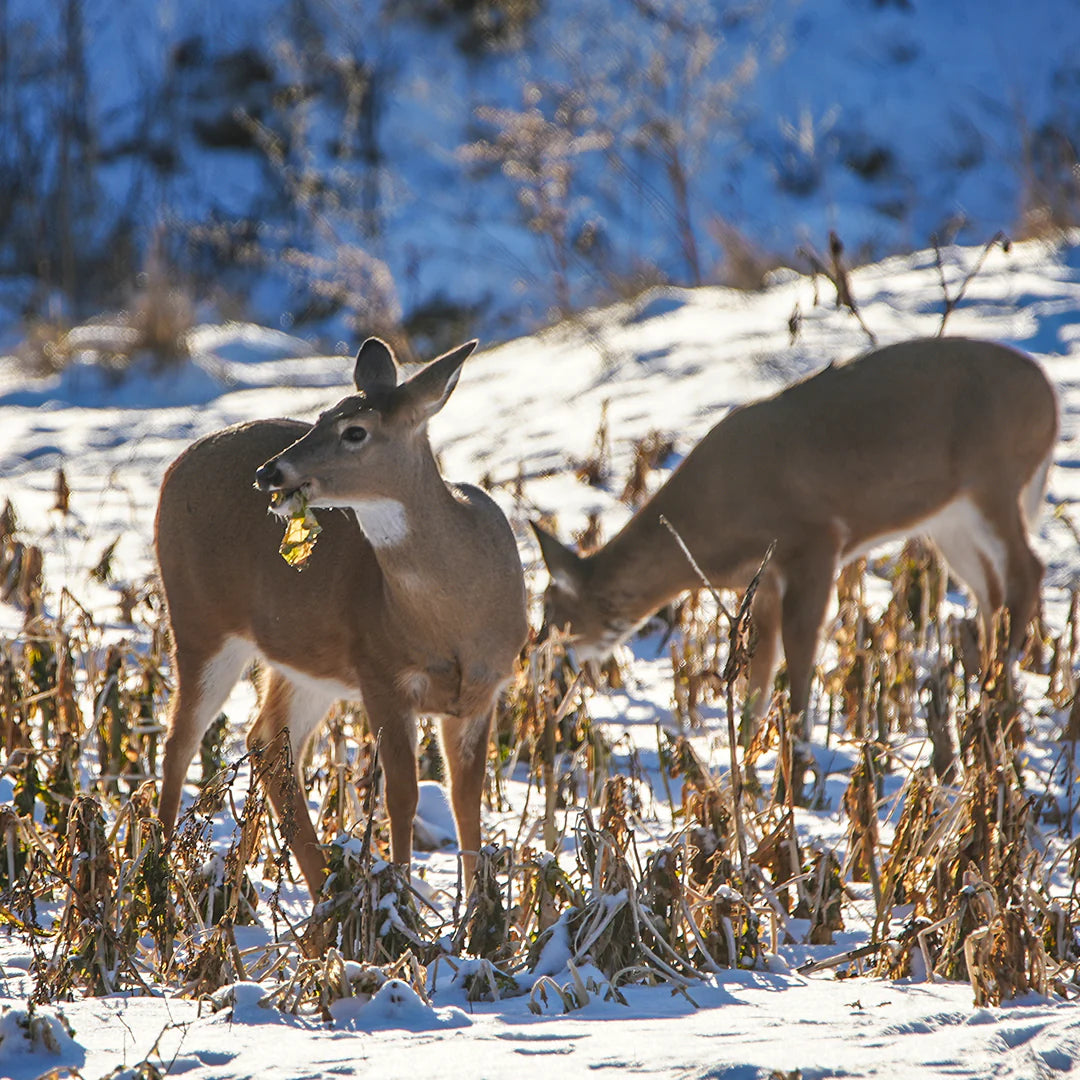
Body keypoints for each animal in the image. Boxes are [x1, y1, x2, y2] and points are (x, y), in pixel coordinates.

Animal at [155, 334, 527, 894]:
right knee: (180, 741)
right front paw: (403, 901)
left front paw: (476, 910)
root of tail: (175, 466)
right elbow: (401, 797)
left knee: (266, 741)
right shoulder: (381, 674)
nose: (269, 472)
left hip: (304, 661)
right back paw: (153, 877)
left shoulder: (484, 691)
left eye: (355, 430)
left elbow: (466, 801)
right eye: (320, 416)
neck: (452, 618)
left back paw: (310, 889)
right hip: (199, 619)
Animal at [535, 336, 1058, 725]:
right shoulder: (763, 579)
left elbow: (802, 649)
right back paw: (986, 682)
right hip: (948, 519)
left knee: (1027, 571)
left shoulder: (816, 540)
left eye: (554, 612)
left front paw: (798, 750)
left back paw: (998, 684)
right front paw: (750, 751)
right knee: (989, 591)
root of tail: (1050, 394)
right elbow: (761, 669)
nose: (541, 653)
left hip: (995, 479)